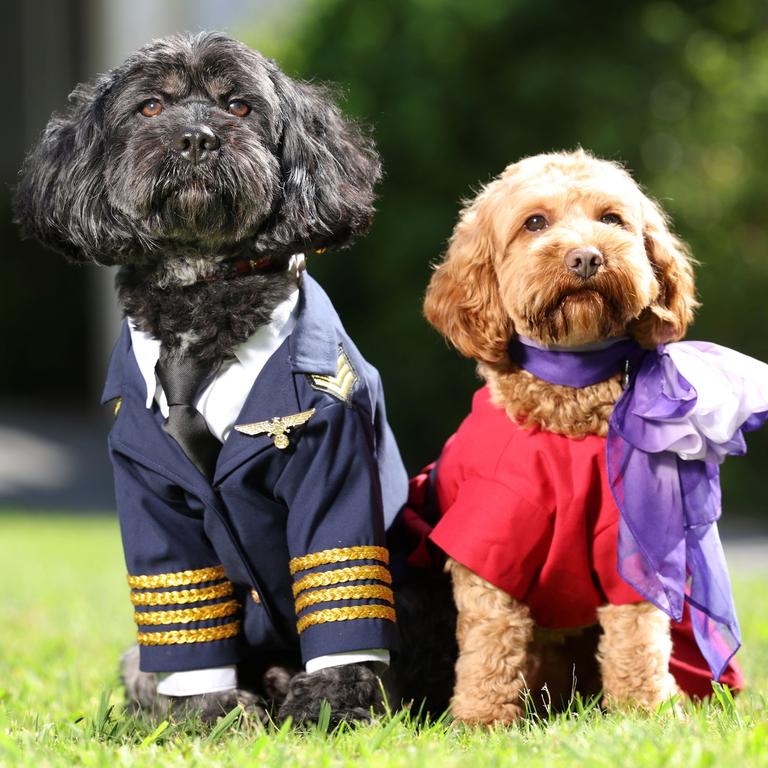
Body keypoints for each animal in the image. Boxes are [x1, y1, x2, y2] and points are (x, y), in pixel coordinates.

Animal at [13, 30, 462, 728]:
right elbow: (184, 606)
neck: (203, 300)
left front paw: (332, 704)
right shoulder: (150, 491)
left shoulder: (331, 465)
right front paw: (209, 711)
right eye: (150, 106)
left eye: (239, 105)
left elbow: (338, 579)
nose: (198, 138)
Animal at [424, 147, 700, 724]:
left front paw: (646, 715)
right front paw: (481, 720)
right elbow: (490, 640)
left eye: (611, 219)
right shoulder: (491, 531)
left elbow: (637, 639)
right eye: (534, 222)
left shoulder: (631, 534)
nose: (587, 258)